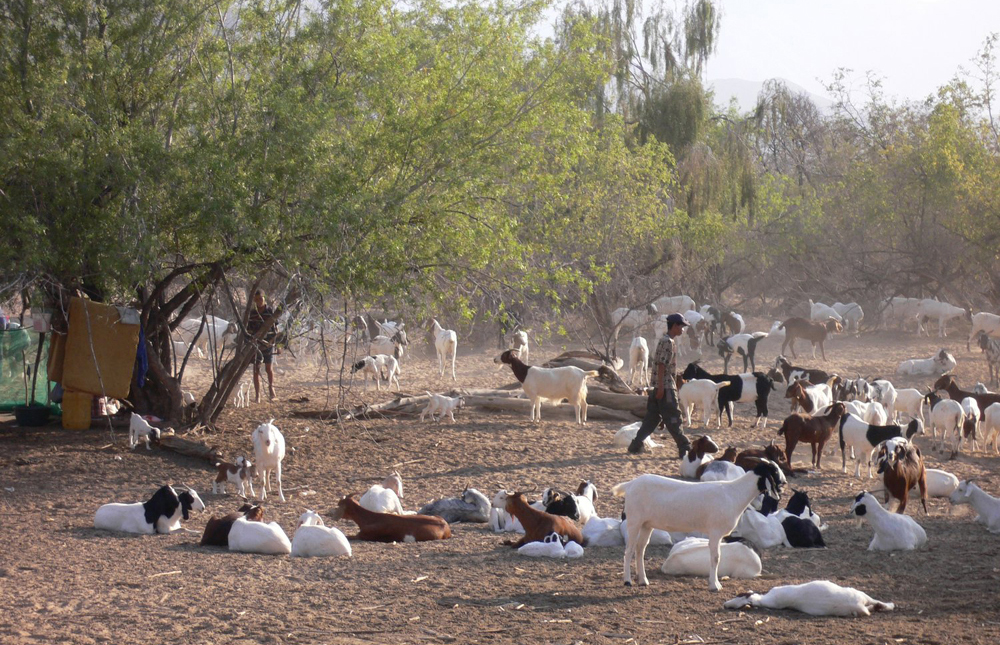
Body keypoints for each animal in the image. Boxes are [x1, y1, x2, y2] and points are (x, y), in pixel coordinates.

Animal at [608, 460, 788, 592]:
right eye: (774, 471)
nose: (785, 482)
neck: (735, 493)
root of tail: (630, 485)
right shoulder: (715, 531)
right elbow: (715, 557)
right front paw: (714, 585)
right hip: (634, 520)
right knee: (629, 550)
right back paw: (628, 581)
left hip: (647, 524)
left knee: (640, 549)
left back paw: (643, 580)